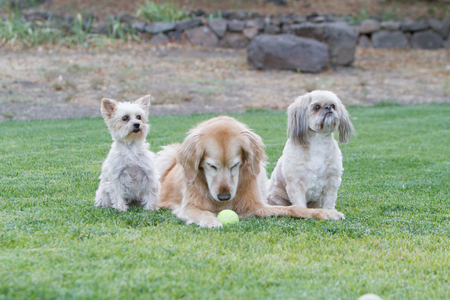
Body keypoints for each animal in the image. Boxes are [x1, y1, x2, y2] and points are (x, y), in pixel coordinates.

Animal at [155, 115, 344, 227]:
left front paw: (325, 213)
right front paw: (211, 220)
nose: (224, 197)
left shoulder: (256, 206)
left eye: (235, 165)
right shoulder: (188, 207)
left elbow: (295, 209)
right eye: (211, 165)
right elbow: (202, 212)